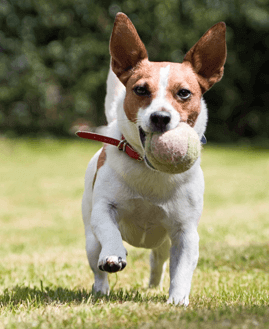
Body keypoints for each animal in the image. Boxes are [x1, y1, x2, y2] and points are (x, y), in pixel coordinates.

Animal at [80, 12, 226, 304]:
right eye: (140, 90)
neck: (152, 172)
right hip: (90, 238)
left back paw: (155, 285)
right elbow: (110, 230)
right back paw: (102, 287)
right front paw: (113, 255)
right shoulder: (103, 209)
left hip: (163, 243)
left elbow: (182, 268)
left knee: (158, 260)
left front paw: (178, 300)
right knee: (97, 264)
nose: (160, 117)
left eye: (184, 93)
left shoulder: (185, 232)